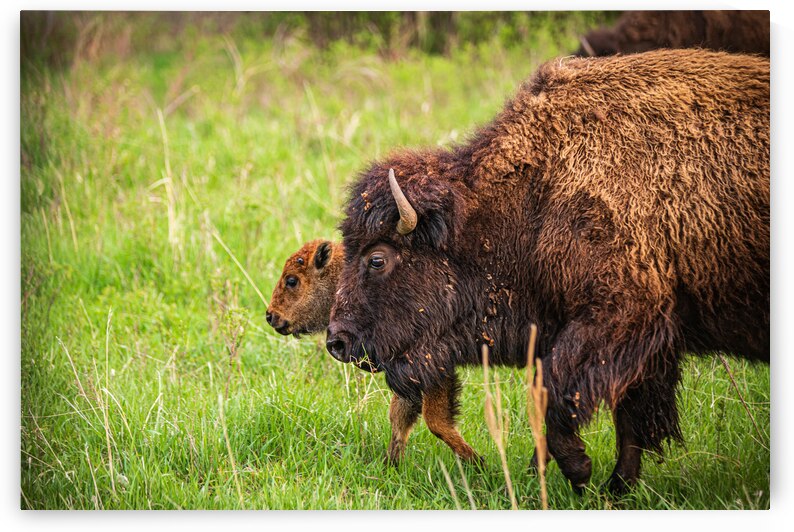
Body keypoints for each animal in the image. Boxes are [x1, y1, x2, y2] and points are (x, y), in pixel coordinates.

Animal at [324, 50, 768, 494]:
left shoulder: (618, 317)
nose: (337, 343)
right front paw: (613, 488)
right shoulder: (649, 342)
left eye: (377, 258)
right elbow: (630, 417)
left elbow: (558, 396)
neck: (537, 193)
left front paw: (581, 471)